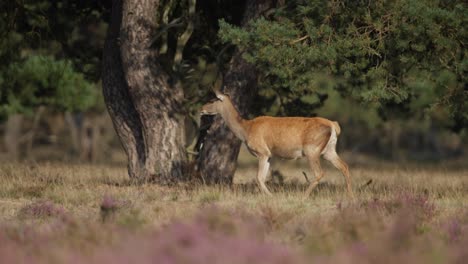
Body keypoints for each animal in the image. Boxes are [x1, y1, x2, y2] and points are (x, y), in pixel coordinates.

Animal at [199, 88, 352, 198]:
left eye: (212, 99)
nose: (201, 109)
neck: (246, 129)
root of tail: (333, 125)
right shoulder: (269, 155)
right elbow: (262, 177)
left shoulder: (262, 151)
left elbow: (259, 178)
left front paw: (271, 196)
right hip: (328, 150)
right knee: (344, 166)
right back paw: (349, 196)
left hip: (312, 149)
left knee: (320, 173)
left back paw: (303, 196)